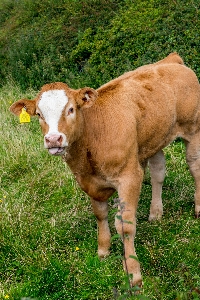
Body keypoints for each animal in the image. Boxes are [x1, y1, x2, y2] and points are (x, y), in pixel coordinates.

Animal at [10, 53, 200, 286]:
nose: (53, 139)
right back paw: (155, 213)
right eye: (39, 114)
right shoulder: (89, 181)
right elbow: (100, 214)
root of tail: (171, 60)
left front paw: (133, 273)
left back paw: (197, 208)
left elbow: (126, 226)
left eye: (71, 109)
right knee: (158, 171)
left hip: (193, 128)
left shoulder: (129, 176)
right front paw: (103, 250)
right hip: (154, 138)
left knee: (194, 166)